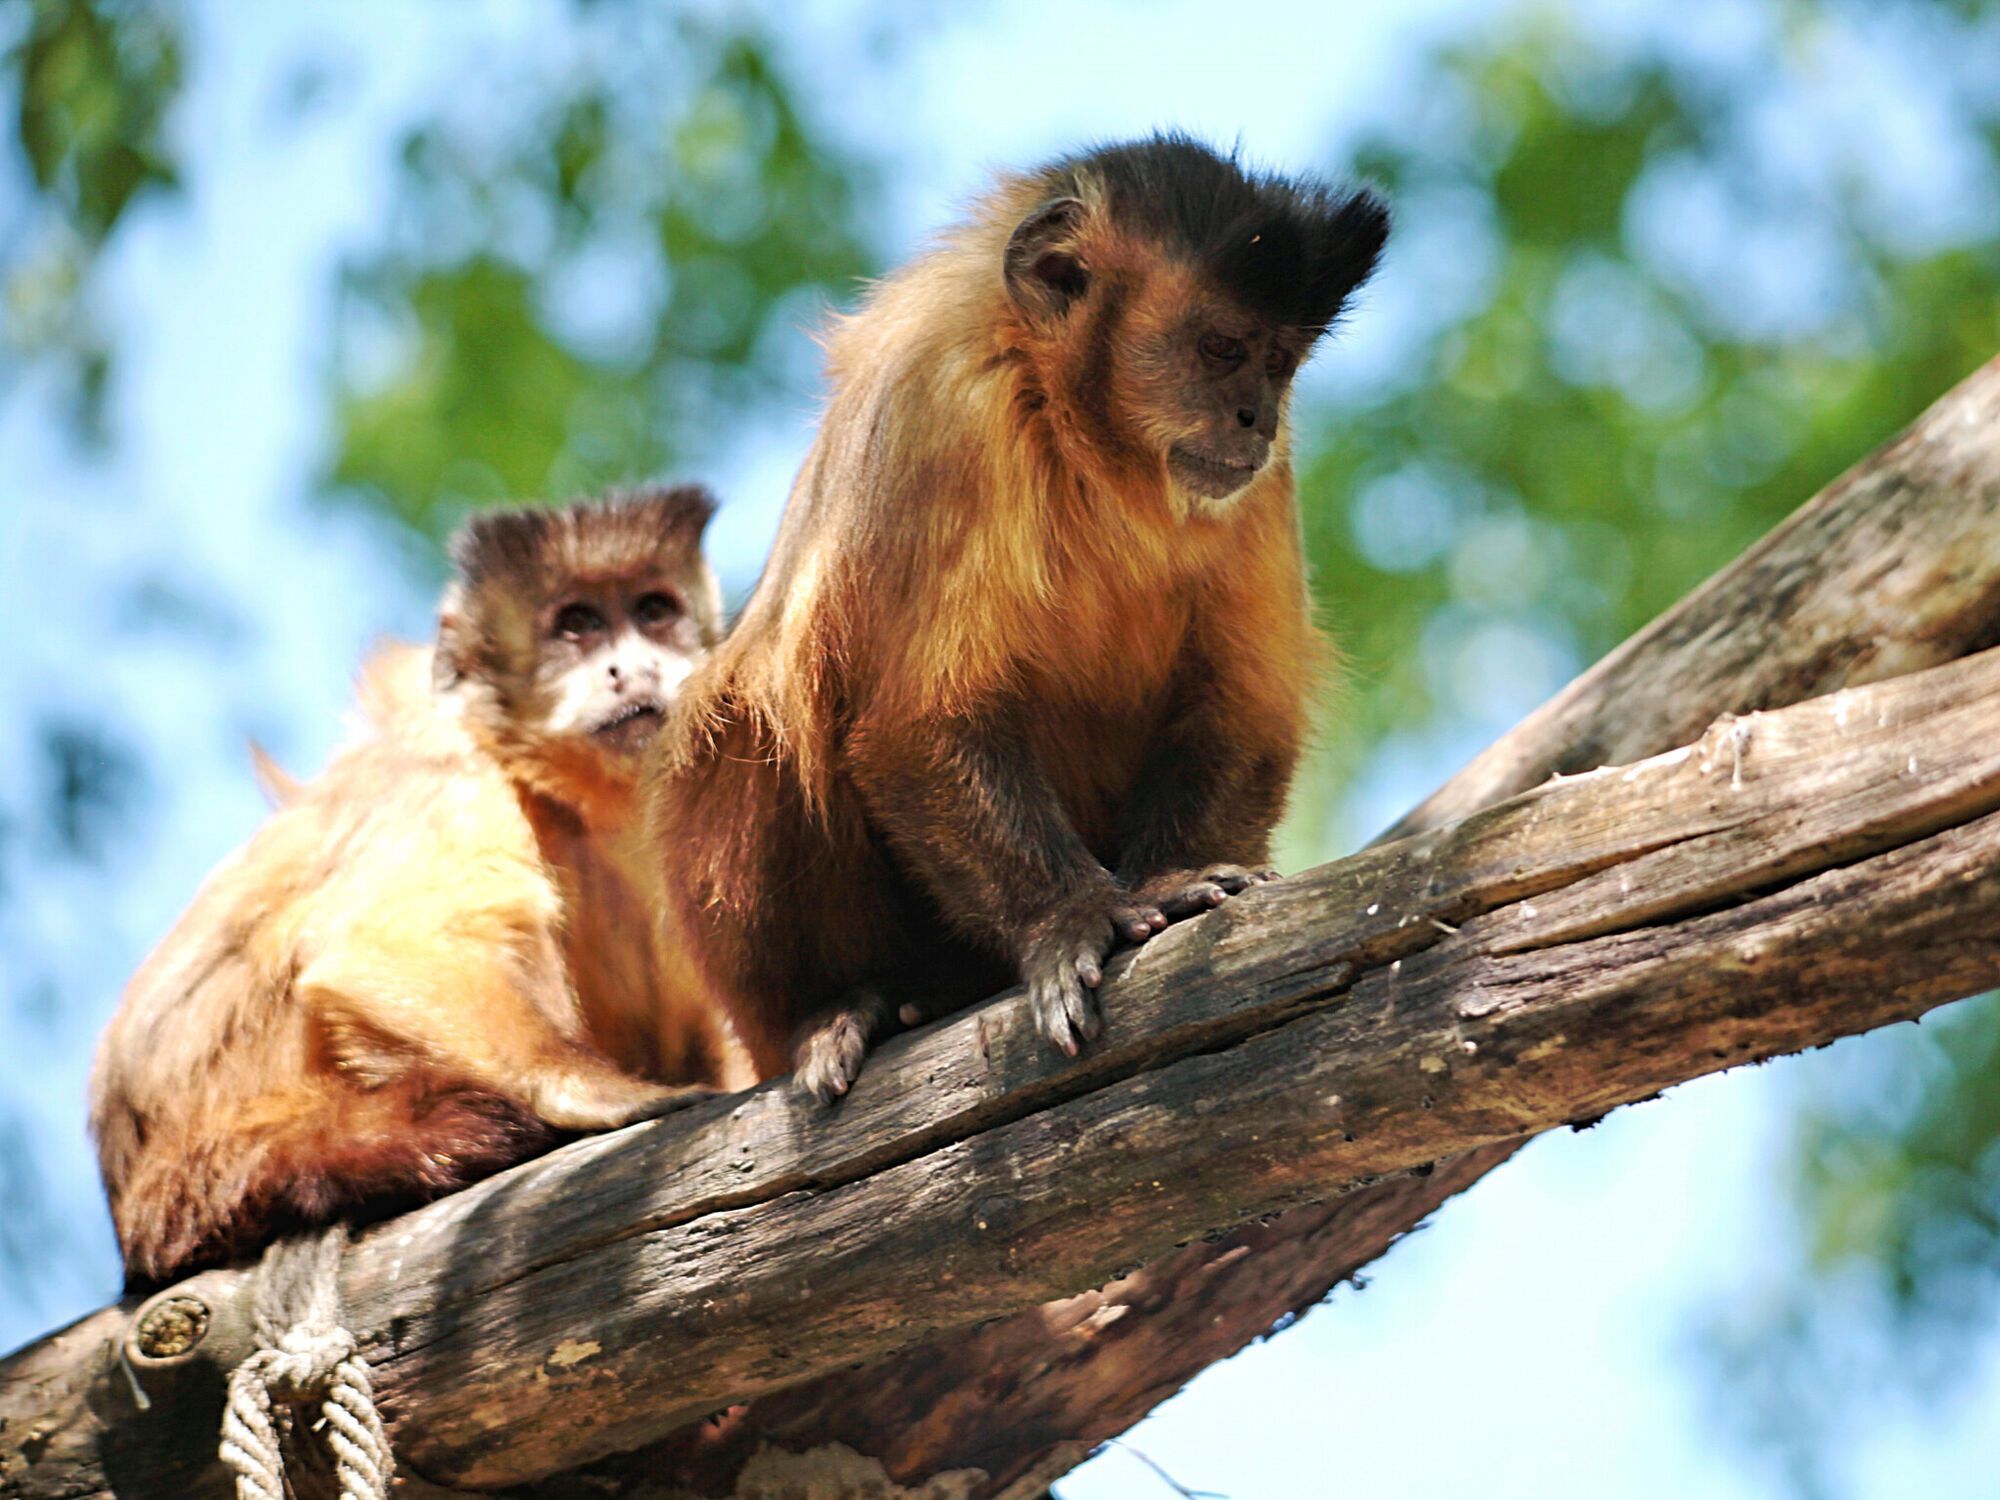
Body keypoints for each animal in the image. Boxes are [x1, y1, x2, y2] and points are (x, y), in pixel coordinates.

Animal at [84, 488, 744, 1288]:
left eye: (653, 611)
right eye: (577, 626)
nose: (632, 669)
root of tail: (134, 1205)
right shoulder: (454, 766)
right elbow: (383, 947)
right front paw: (594, 1093)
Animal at [652, 141, 1392, 1104]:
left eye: (1279, 363)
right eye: (1221, 348)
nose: (1255, 417)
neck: (1083, 434)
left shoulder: (1263, 476)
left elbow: (1242, 709)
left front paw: (1172, 880)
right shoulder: (946, 399)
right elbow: (915, 724)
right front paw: (1075, 919)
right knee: (755, 711)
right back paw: (840, 1008)